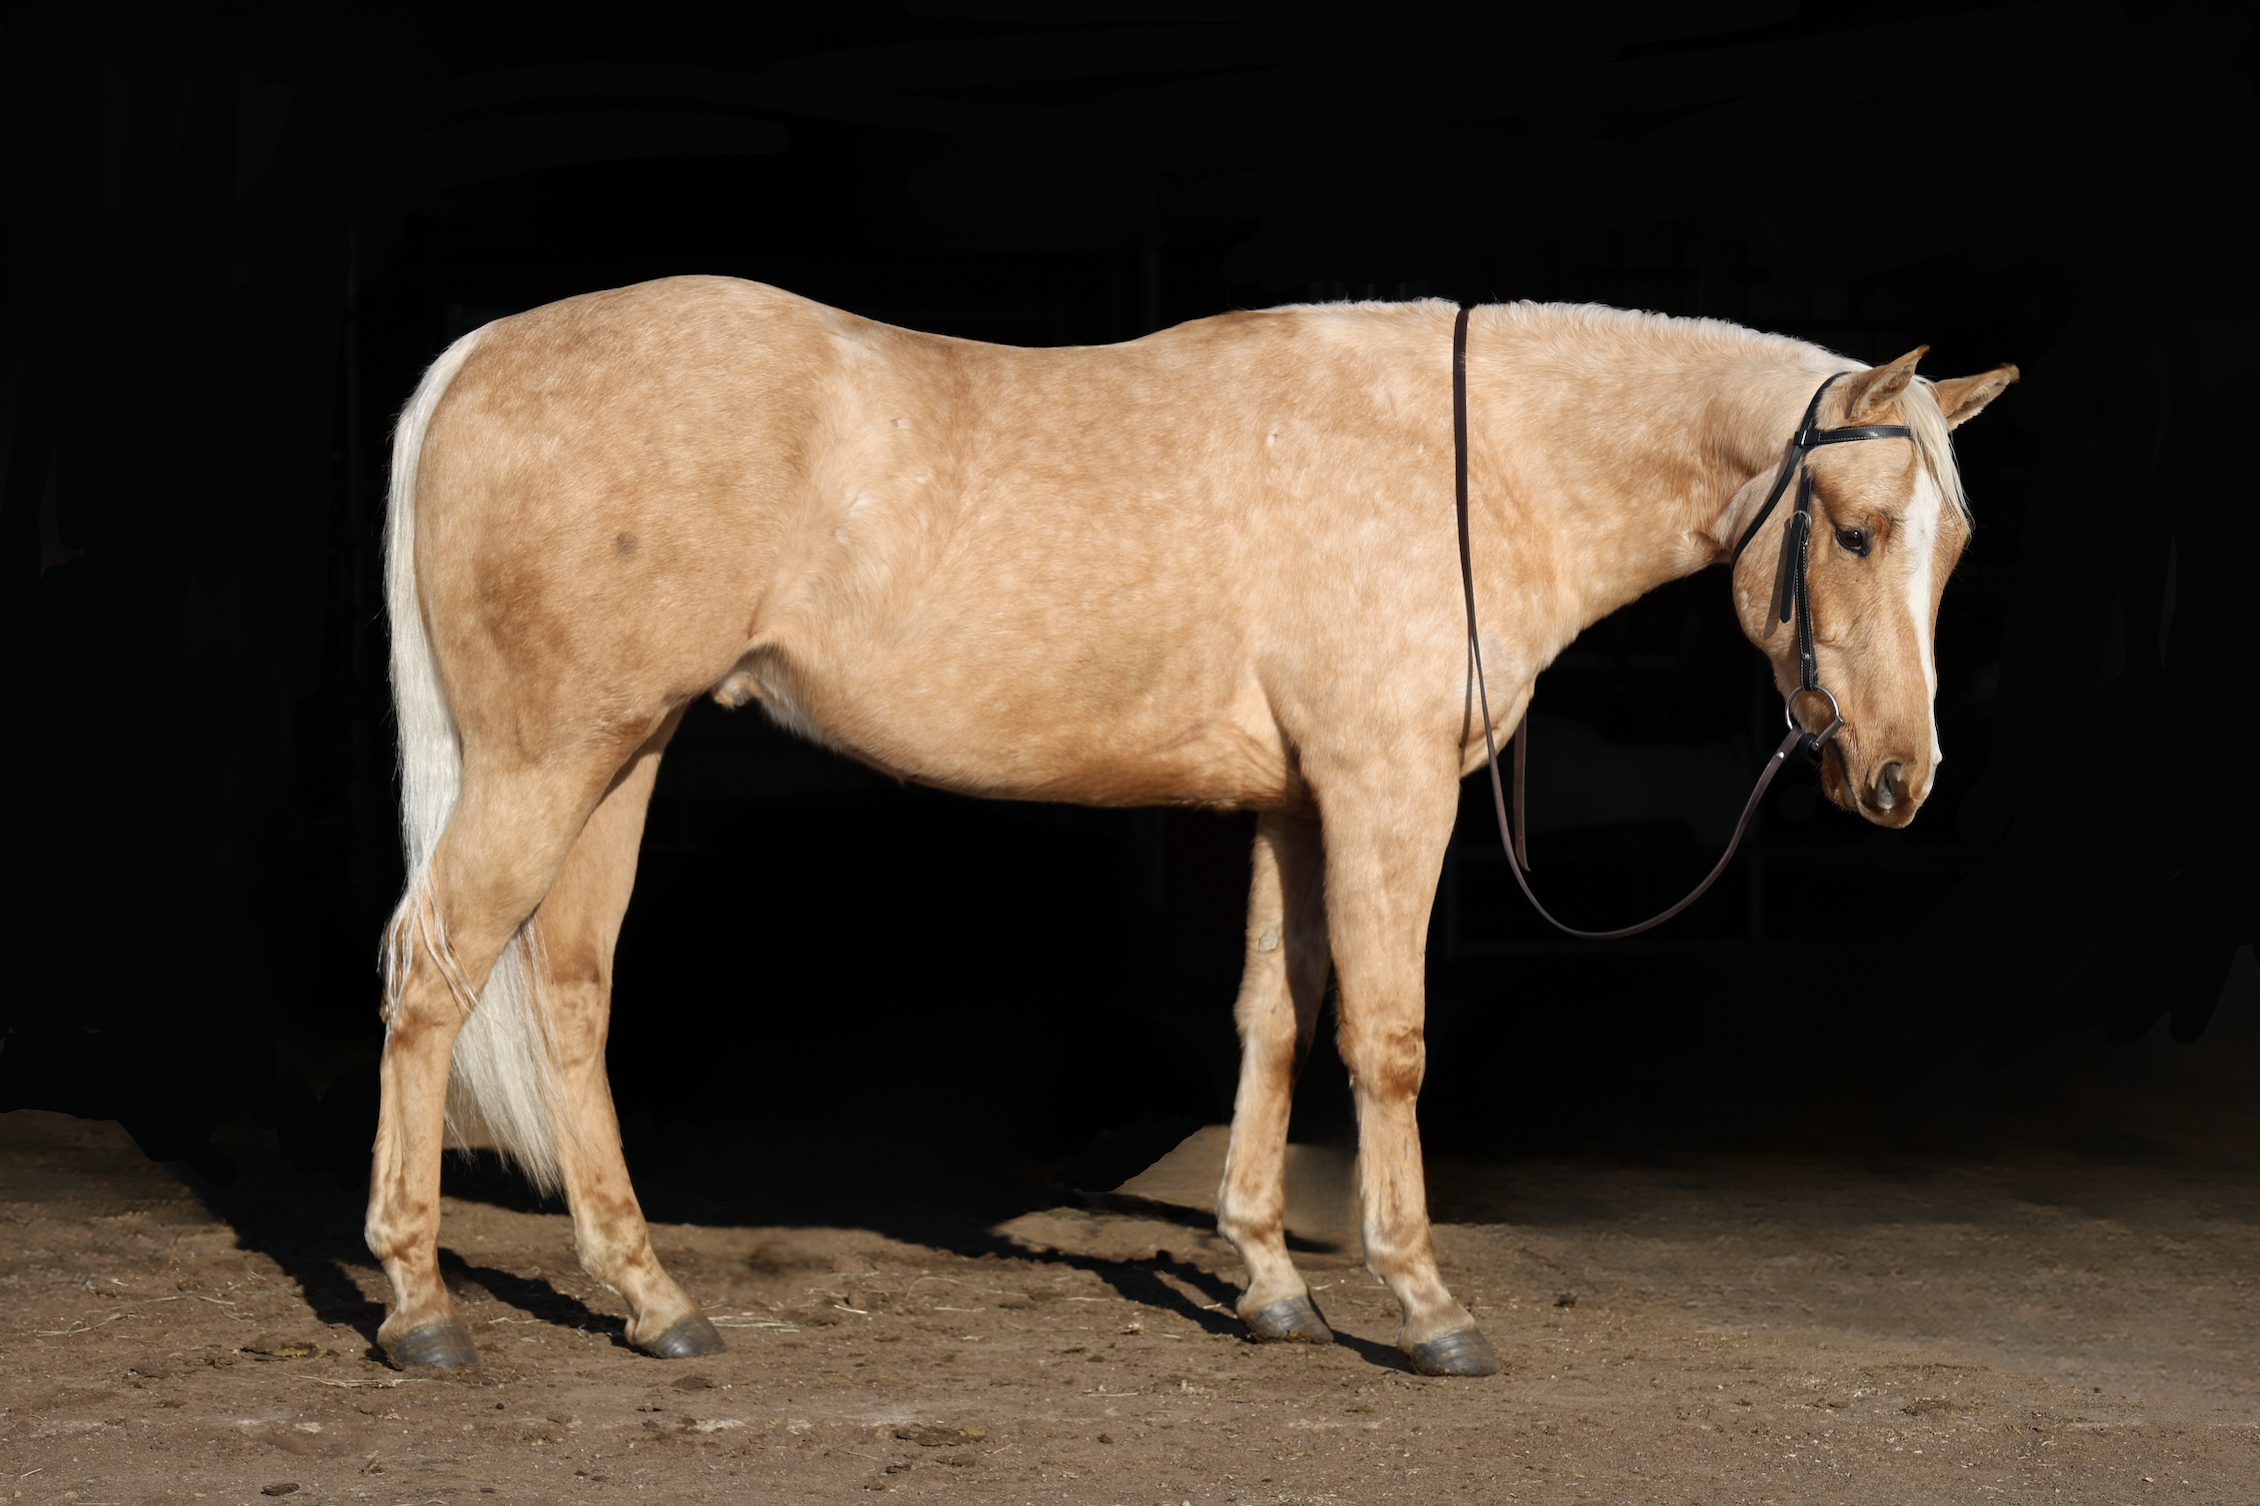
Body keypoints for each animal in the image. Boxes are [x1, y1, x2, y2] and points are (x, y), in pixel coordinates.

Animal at [368, 278, 2015, 1375]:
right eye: (1855, 531)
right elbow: (1386, 1040)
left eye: (1949, 546)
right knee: (432, 974)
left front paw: (1272, 1281)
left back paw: (654, 1300)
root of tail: (478, 355)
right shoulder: (1383, 789)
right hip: (547, 763)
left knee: (567, 992)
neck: (1469, 463)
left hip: (623, 753)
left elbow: (1273, 1022)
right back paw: (421, 1308)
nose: (1898, 779)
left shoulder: (1295, 807)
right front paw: (1425, 1305)